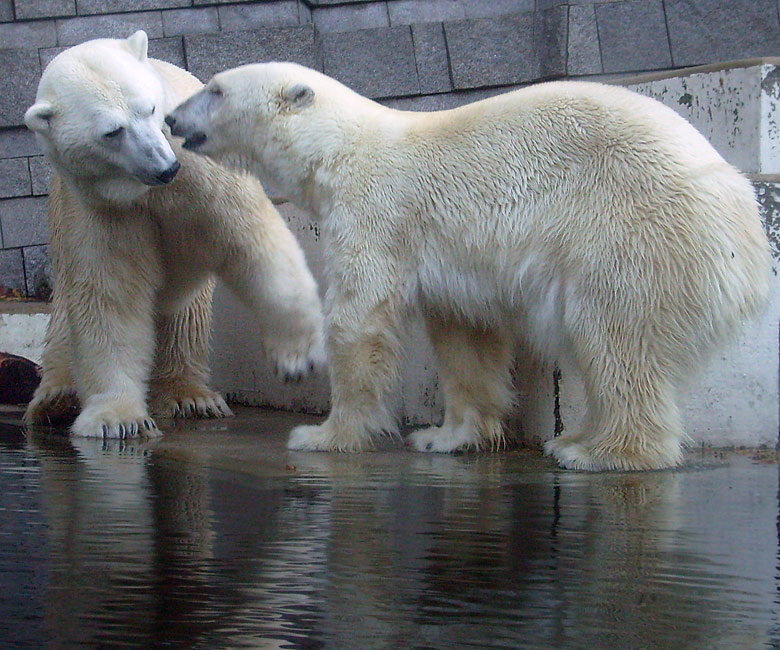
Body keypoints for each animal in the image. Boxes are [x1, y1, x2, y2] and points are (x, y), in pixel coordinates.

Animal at [22, 36, 324, 440]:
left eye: (150, 108)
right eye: (112, 131)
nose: (164, 167)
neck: (144, 191)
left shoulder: (202, 173)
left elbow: (251, 240)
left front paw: (296, 354)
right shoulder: (100, 206)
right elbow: (110, 294)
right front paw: (117, 419)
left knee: (185, 315)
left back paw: (190, 397)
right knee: (64, 317)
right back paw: (56, 400)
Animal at [166, 62, 772, 466]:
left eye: (215, 89)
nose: (170, 116)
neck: (339, 151)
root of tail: (746, 224)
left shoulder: (377, 213)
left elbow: (359, 317)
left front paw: (325, 435)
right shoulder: (449, 259)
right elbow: (465, 337)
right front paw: (449, 436)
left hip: (629, 229)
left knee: (612, 333)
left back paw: (600, 452)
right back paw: (575, 438)